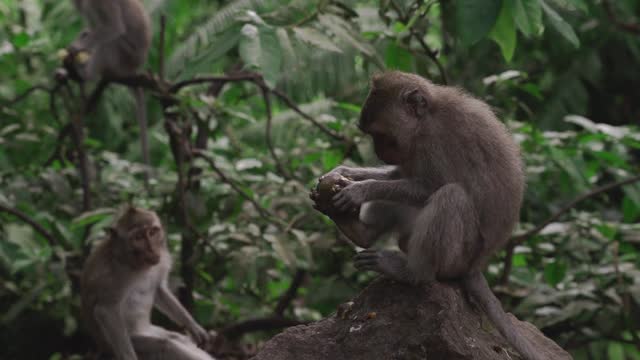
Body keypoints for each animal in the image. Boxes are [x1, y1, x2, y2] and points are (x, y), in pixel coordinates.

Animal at [68, 0, 153, 181]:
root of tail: (134, 69)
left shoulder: (100, 2)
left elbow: (114, 27)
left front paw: (77, 47)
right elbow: (93, 28)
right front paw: (82, 42)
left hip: (124, 56)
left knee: (109, 43)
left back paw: (87, 74)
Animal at [80, 205, 212, 360]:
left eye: (152, 232)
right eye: (138, 238)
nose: (152, 249)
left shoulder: (161, 261)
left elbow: (159, 290)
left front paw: (193, 326)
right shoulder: (113, 276)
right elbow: (105, 310)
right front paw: (129, 357)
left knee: (177, 339)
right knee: (166, 345)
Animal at [312, 71, 544, 360]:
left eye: (380, 134)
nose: (378, 152)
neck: (428, 115)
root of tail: (475, 267)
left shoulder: (431, 141)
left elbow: (429, 186)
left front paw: (360, 190)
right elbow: (399, 175)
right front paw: (345, 173)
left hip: (458, 256)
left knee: (451, 196)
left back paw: (412, 272)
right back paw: (359, 232)